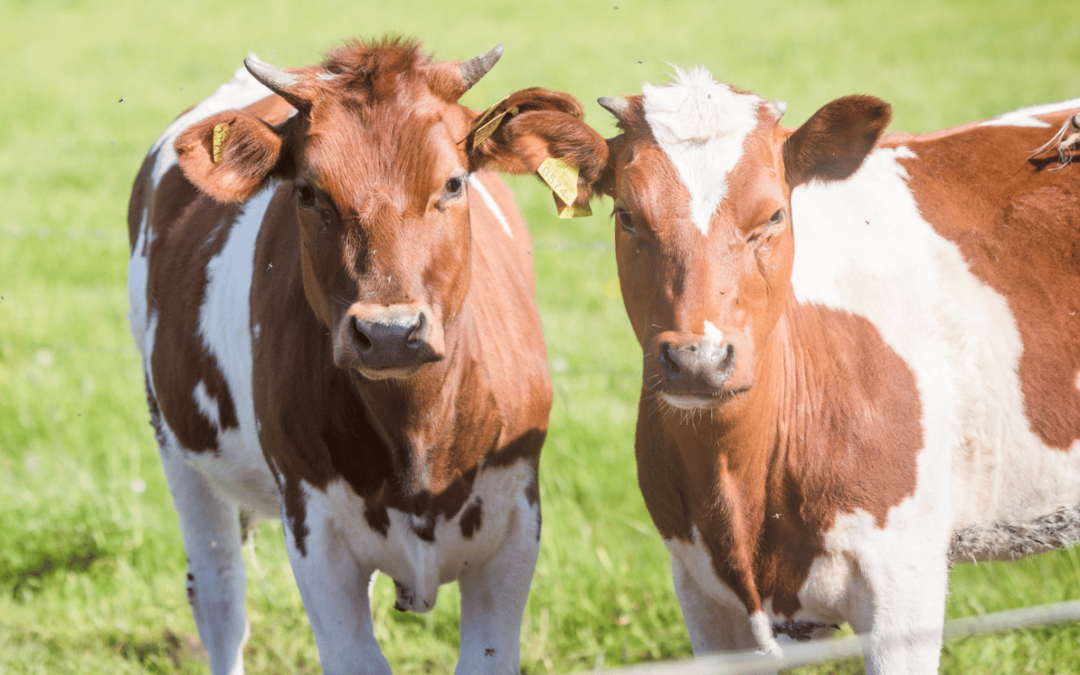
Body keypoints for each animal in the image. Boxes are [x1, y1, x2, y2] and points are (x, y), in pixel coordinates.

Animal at [126, 40, 591, 673]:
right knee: (219, 596)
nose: (389, 333)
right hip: (177, 446)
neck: (417, 430)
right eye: (308, 192)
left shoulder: (515, 527)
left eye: (452, 183)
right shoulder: (316, 536)